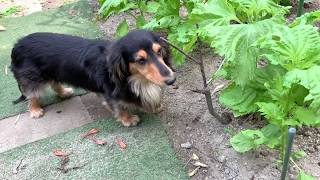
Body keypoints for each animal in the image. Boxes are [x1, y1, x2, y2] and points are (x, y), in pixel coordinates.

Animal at [10, 29, 175, 126]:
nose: (171, 80)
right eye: (140, 60)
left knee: (54, 83)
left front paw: (155, 107)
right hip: (32, 78)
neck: (135, 78)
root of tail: (17, 44)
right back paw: (35, 109)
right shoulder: (110, 95)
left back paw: (64, 92)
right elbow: (119, 107)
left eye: (159, 51)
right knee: (31, 94)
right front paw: (128, 119)